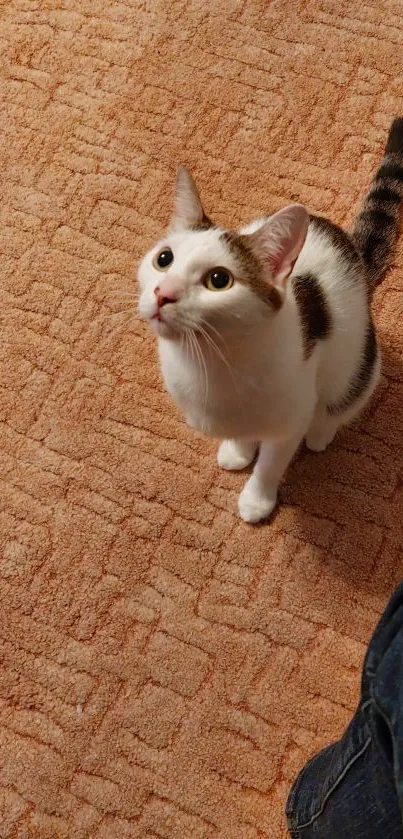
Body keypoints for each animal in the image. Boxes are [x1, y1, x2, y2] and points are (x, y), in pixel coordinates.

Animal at [138, 118, 403, 524]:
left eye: (219, 280)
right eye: (163, 259)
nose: (162, 292)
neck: (210, 360)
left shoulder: (291, 417)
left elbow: (272, 463)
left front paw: (257, 498)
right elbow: (244, 436)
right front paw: (239, 450)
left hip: (358, 362)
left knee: (343, 399)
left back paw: (322, 432)